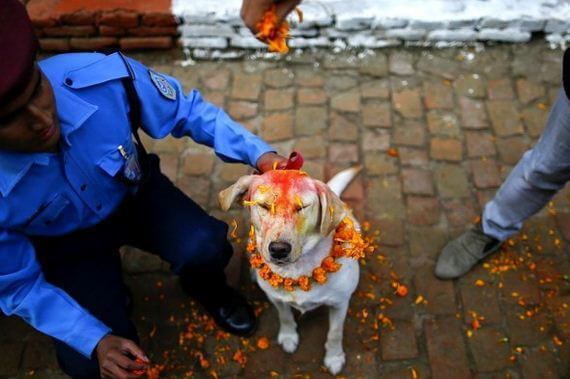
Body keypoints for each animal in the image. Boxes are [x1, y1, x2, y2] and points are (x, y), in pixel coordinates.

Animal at [217, 166, 360, 374]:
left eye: (301, 207)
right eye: (264, 206)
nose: (278, 249)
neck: (297, 269)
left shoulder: (340, 303)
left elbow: (335, 333)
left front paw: (334, 357)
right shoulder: (276, 298)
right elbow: (284, 316)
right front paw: (288, 336)